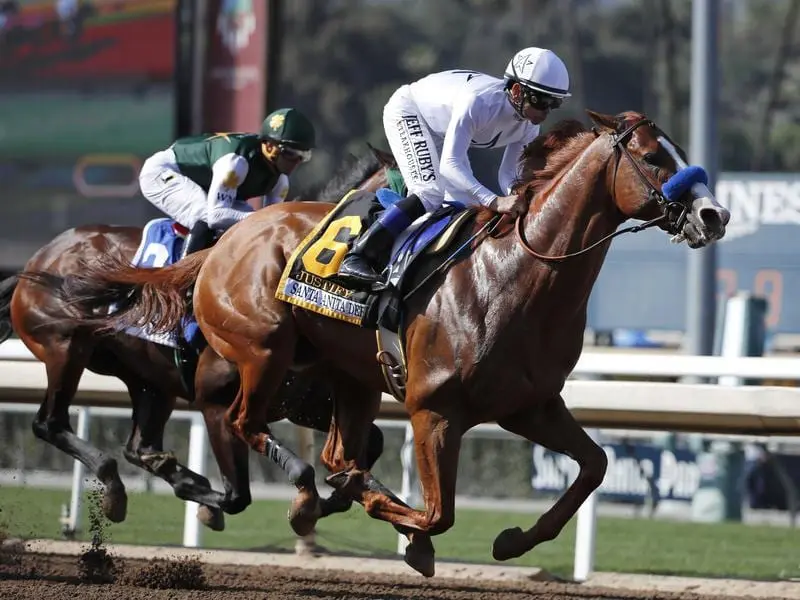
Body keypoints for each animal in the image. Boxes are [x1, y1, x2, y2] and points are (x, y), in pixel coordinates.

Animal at [1, 145, 396, 528]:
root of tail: (39, 259)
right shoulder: (214, 399)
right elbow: (238, 496)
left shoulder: (304, 402)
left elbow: (372, 443)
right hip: (65, 347)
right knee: (50, 423)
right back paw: (114, 484)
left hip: (149, 382)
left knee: (139, 446)